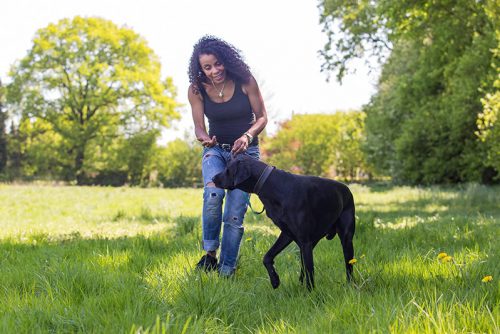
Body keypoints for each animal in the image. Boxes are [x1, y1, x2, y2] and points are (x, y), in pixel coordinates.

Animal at [214, 155, 356, 290]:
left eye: (228, 169)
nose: (213, 178)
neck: (271, 185)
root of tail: (347, 189)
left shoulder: (304, 240)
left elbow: (310, 271)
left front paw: (311, 293)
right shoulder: (287, 234)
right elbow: (267, 257)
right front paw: (274, 280)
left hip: (345, 240)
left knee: (348, 266)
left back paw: (350, 285)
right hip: (310, 243)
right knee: (303, 266)